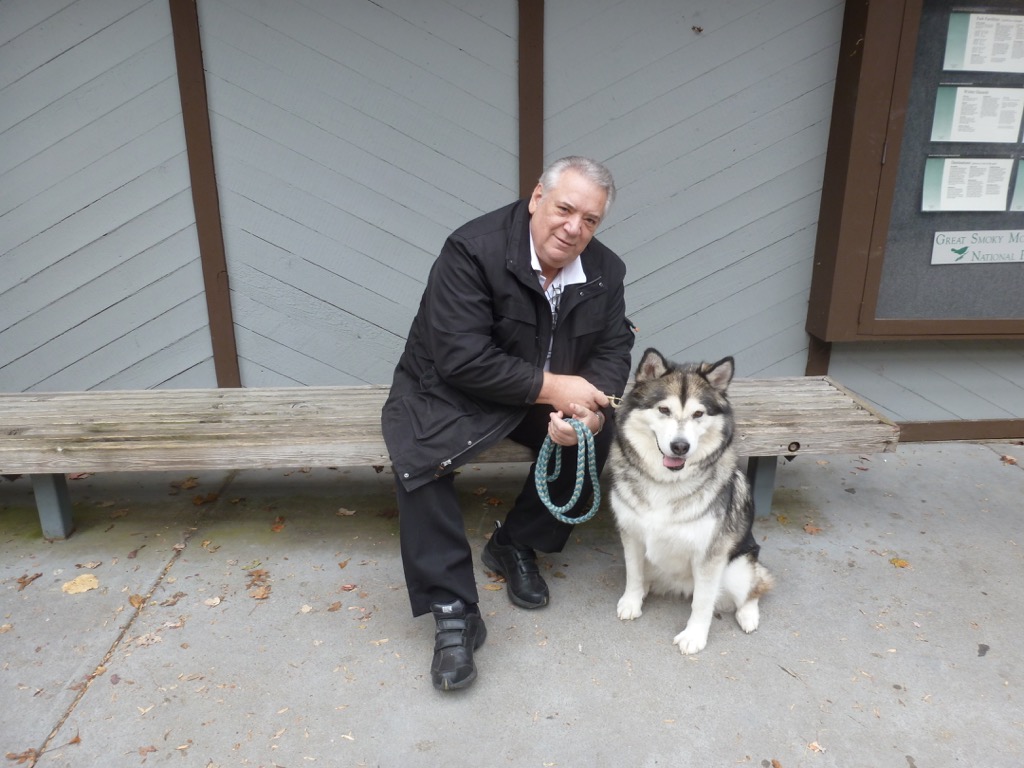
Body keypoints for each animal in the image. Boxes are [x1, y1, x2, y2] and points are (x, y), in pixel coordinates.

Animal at [602, 348, 770, 655]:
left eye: (698, 414)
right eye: (664, 410)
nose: (680, 447)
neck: (666, 483)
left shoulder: (709, 555)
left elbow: (702, 602)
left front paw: (694, 635)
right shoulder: (631, 535)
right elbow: (633, 574)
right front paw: (632, 600)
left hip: (737, 567)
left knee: (755, 588)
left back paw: (748, 615)